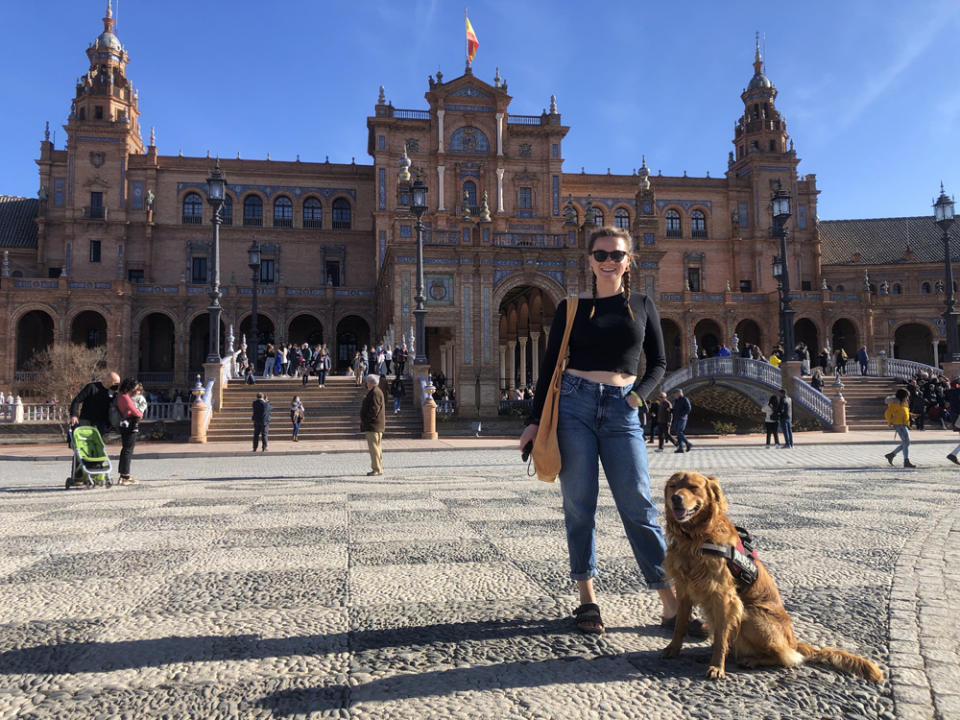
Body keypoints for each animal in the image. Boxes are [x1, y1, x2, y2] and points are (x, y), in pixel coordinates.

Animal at [664, 470, 880, 684]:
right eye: (673, 486)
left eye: (693, 487)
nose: (676, 498)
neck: (695, 538)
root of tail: (794, 641)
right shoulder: (684, 590)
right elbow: (680, 625)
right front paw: (672, 650)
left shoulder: (725, 597)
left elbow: (720, 639)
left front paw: (717, 666)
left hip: (750, 613)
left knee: (785, 656)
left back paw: (751, 660)